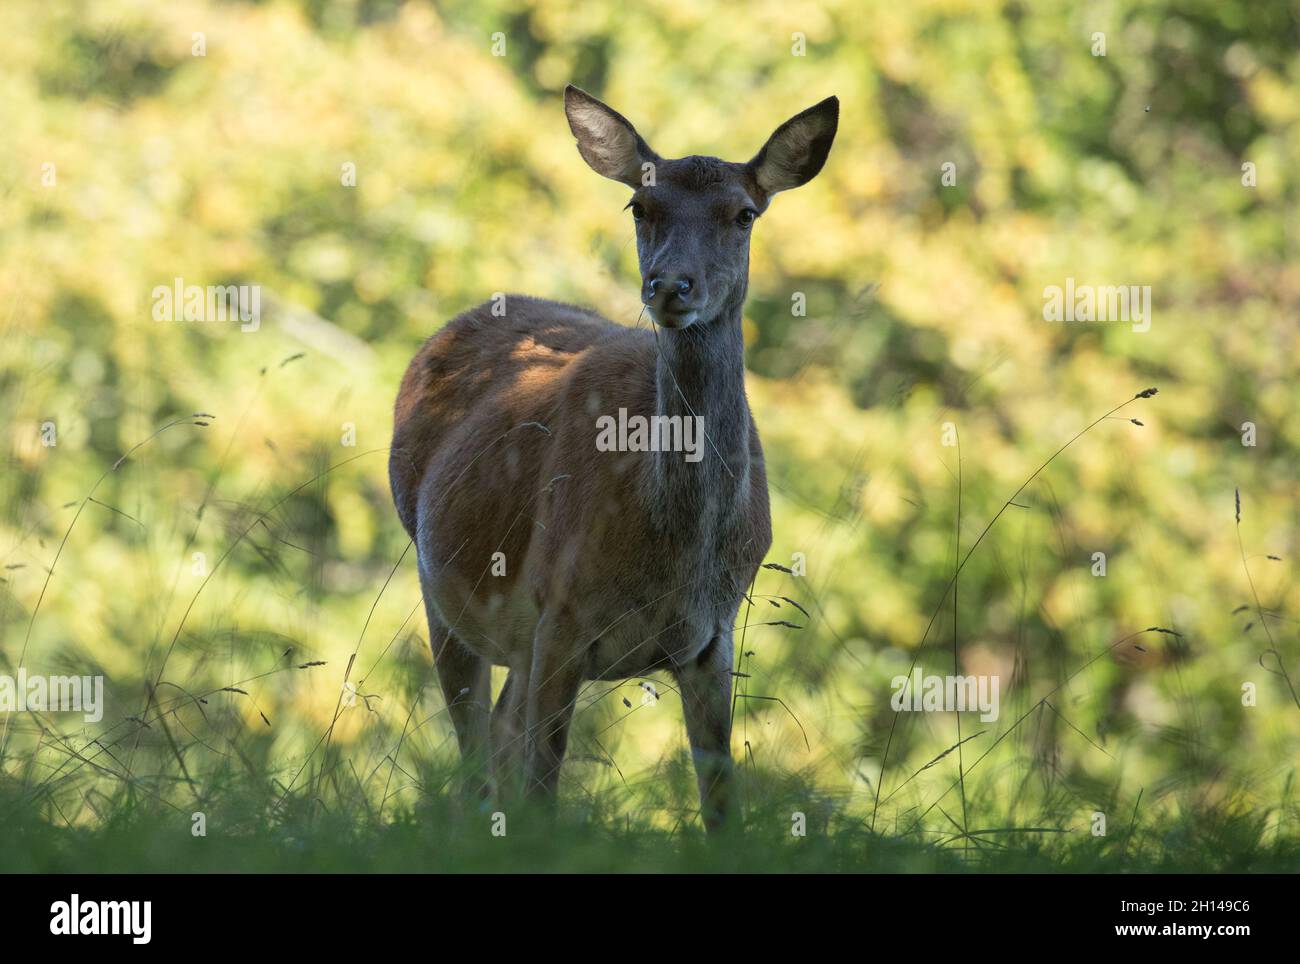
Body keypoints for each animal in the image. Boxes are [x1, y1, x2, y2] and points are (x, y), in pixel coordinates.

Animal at [389, 85, 838, 832]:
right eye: (640, 206)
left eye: (743, 213)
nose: (670, 286)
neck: (671, 551)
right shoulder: (559, 611)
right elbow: (543, 787)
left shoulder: (712, 637)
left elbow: (722, 804)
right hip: (440, 585)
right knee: (475, 749)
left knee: (501, 732)